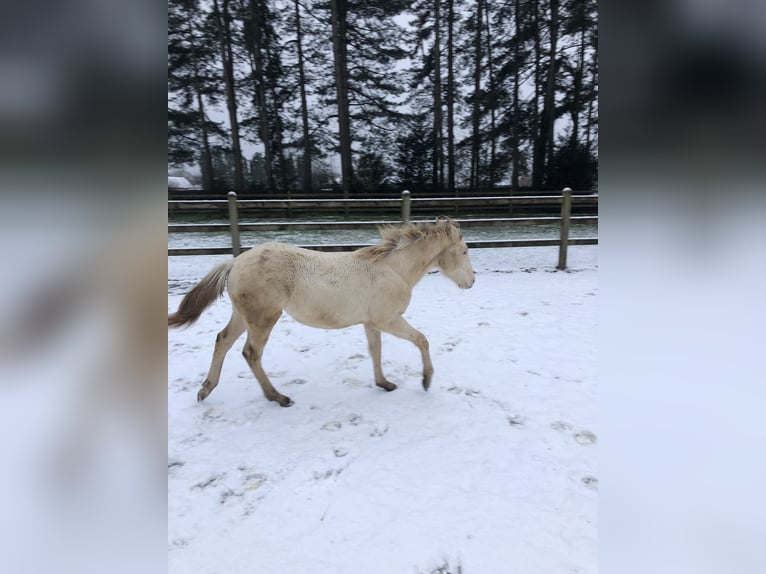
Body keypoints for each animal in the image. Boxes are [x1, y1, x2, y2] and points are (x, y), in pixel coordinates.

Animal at [170, 217, 474, 410]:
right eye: (464, 250)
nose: (471, 281)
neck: (393, 270)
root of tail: (234, 262)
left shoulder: (372, 322)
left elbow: (375, 351)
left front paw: (384, 383)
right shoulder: (389, 319)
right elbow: (422, 339)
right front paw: (426, 380)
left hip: (243, 315)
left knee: (222, 340)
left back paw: (205, 389)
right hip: (264, 317)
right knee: (251, 354)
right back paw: (278, 398)